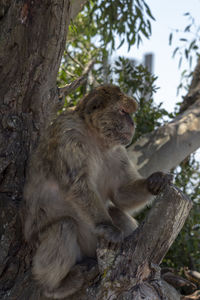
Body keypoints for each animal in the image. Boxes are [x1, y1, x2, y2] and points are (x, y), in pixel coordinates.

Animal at [23, 84, 172, 298]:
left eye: (129, 112)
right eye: (123, 111)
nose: (132, 123)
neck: (95, 136)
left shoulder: (118, 152)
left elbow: (119, 194)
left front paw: (155, 181)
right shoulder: (68, 136)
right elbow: (78, 185)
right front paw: (108, 228)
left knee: (116, 212)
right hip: (39, 245)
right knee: (64, 226)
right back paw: (55, 286)